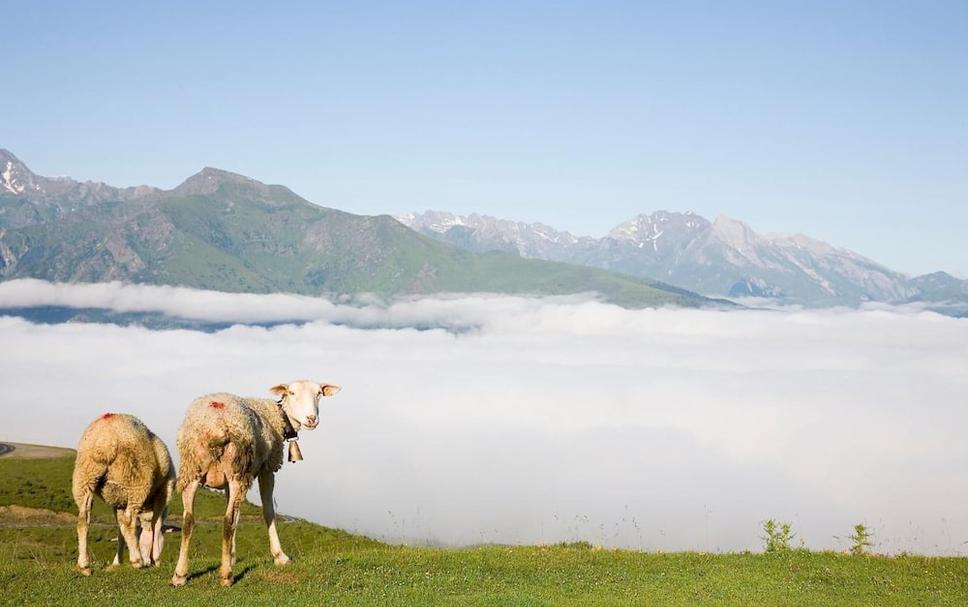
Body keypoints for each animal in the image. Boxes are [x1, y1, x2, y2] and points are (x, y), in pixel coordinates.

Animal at [73, 414, 178, 576]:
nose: (148, 561)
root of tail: (105, 439)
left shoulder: (117, 501)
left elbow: (121, 529)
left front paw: (117, 562)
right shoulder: (164, 492)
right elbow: (156, 524)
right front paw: (156, 559)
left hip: (85, 476)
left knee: (83, 519)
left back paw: (84, 565)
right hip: (135, 479)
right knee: (129, 522)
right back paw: (137, 561)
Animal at [170, 380, 340, 588]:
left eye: (319, 394)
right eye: (292, 392)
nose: (311, 419)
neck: (280, 417)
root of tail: (215, 426)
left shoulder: (229, 481)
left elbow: (237, 514)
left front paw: (231, 555)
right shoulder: (267, 468)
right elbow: (268, 512)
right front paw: (279, 556)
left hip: (194, 468)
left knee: (188, 520)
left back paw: (180, 575)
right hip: (237, 465)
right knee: (226, 520)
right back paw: (226, 576)